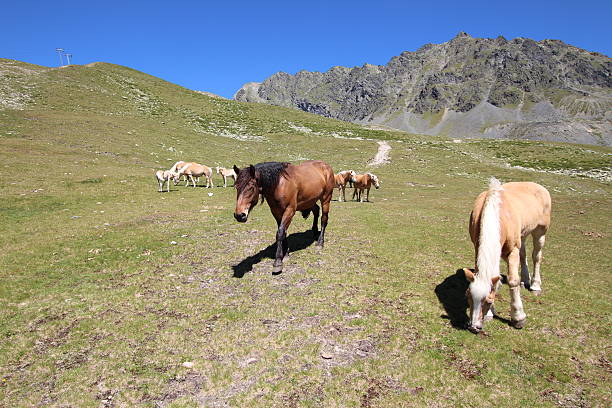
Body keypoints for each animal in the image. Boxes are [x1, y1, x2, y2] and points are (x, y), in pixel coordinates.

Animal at [466, 177, 552, 334]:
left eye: (488, 301)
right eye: (467, 296)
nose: (474, 327)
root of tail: (539, 186)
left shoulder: (512, 251)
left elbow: (513, 280)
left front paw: (518, 318)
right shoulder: (478, 246)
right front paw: (490, 314)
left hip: (541, 231)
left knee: (536, 256)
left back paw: (535, 285)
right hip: (523, 234)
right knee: (523, 254)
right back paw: (525, 280)